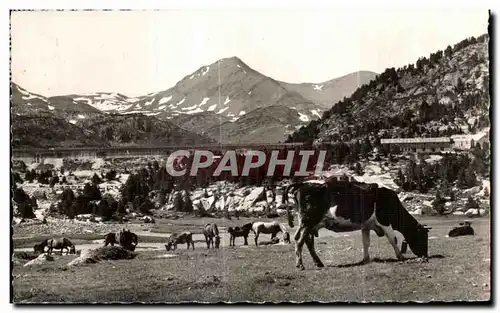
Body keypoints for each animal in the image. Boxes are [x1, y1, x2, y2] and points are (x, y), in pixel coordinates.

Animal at [284, 179, 432, 270]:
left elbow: (365, 242)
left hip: (309, 224)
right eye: (423, 237)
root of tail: (303, 183)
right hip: (308, 221)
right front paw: (401, 257)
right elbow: (393, 239)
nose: (425, 256)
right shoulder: (384, 221)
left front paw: (365, 259)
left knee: (308, 241)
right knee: (299, 240)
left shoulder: (366, 225)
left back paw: (318, 263)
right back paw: (300, 265)